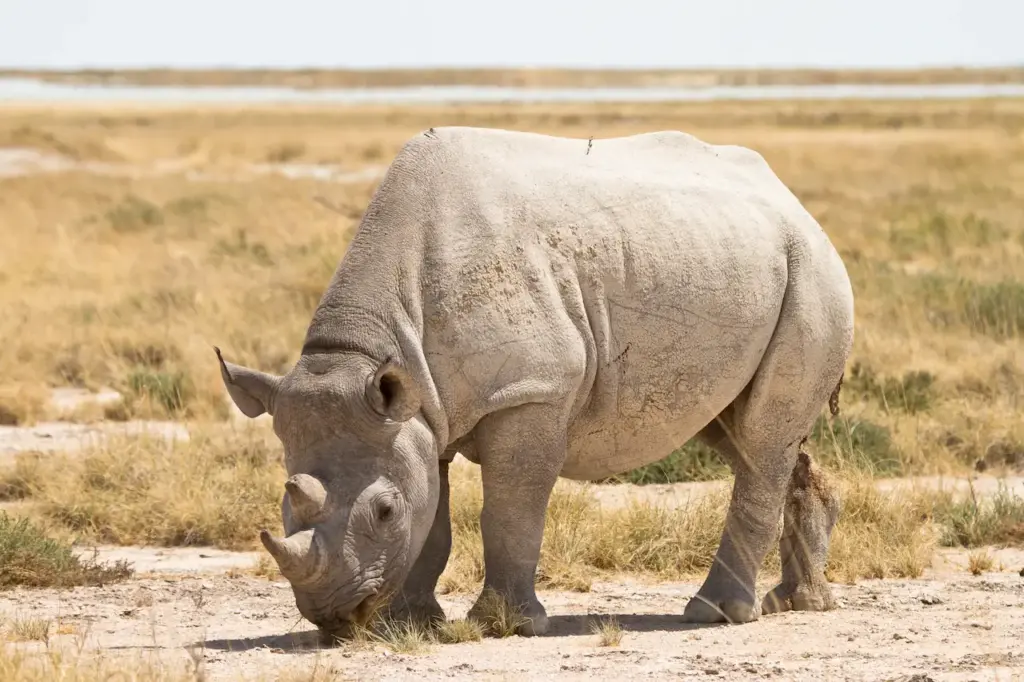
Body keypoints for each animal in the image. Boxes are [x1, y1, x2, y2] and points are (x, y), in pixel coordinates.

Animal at [216, 125, 856, 638]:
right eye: (284, 504)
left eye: (384, 512)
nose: (334, 617)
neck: (367, 350)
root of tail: (796, 205)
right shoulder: (420, 406)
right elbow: (435, 513)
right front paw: (411, 624)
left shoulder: (532, 389)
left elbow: (510, 509)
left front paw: (505, 625)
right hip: (731, 261)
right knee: (739, 431)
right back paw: (800, 602)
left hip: (813, 270)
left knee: (761, 440)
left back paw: (716, 615)